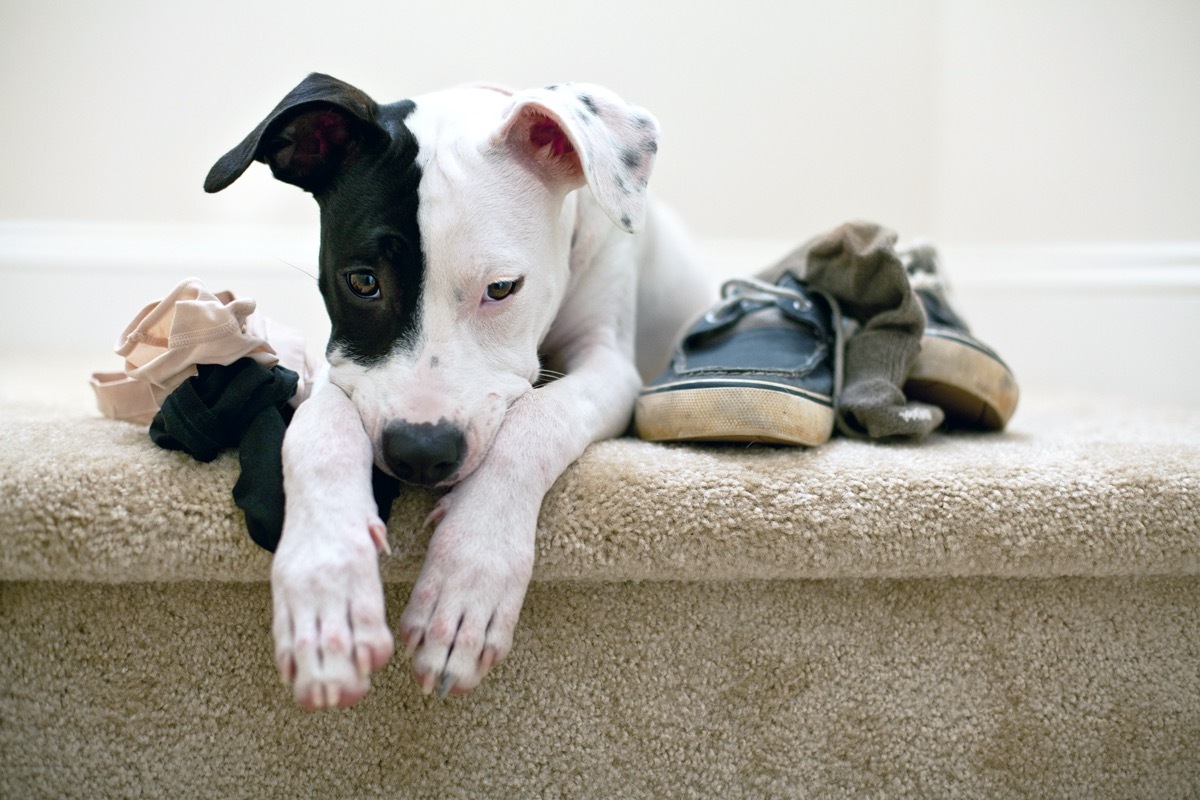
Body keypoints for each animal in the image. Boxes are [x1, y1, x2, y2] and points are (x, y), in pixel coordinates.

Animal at [207, 74, 710, 710]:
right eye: (362, 281)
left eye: (502, 288)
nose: (421, 454)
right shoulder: (346, 363)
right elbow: (316, 434)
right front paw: (326, 588)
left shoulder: (610, 366)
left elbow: (537, 419)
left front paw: (467, 582)